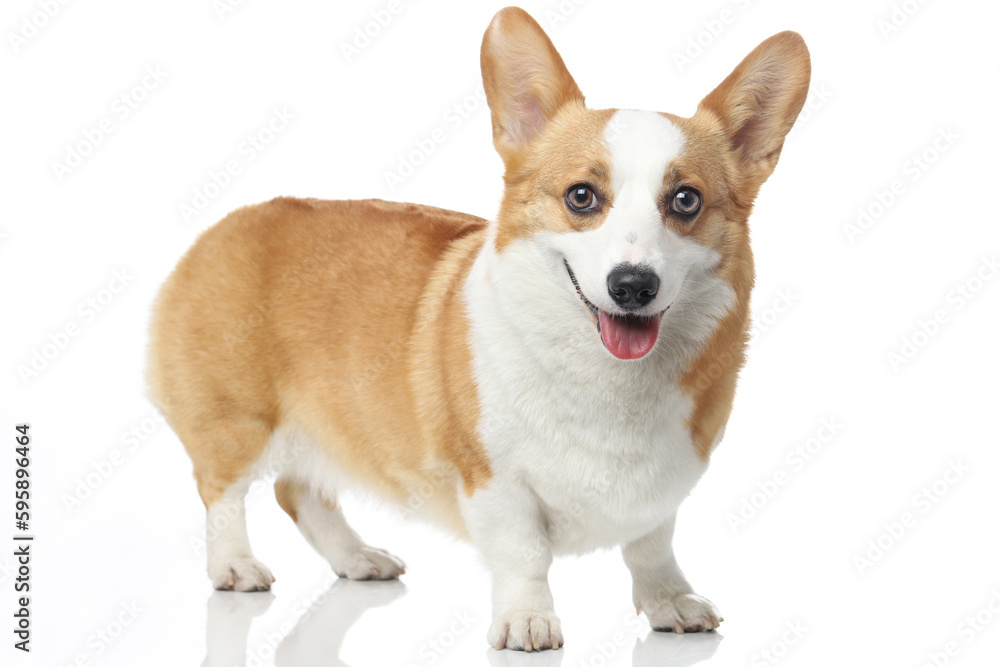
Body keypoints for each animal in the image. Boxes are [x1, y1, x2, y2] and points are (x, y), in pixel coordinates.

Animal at [148, 5, 808, 652]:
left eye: (686, 201)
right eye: (581, 196)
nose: (632, 285)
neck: (605, 377)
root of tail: (225, 224)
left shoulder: (663, 484)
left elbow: (652, 545)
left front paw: (670, 602)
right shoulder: (494, 478)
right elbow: (525, 553)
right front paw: (527, 621)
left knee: (299, 492)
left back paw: (357, 558)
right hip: (237, 421)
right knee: (223, 493)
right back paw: (234, 567)